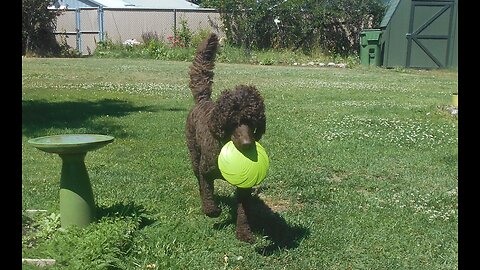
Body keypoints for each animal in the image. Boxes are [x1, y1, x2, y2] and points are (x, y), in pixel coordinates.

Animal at [186, 32, 266, 244]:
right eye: (232, 122)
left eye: (252, 122)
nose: (247, 144)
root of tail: (203, 100)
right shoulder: (206, 171)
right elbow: (207, 190)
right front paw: (212, 210)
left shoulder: (244, 187)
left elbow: (243, 211)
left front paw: (244, 233)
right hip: (194, 155)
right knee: (199, 181)